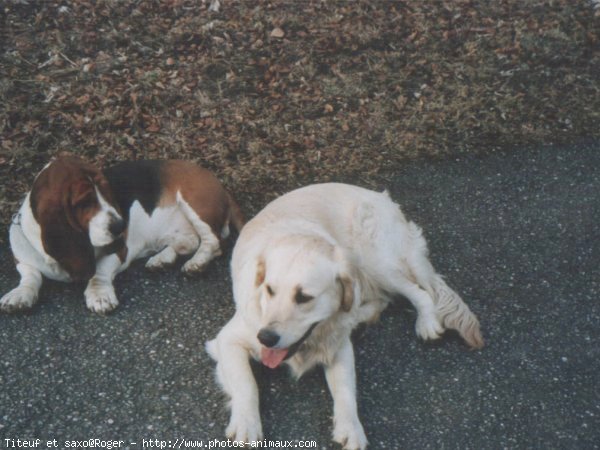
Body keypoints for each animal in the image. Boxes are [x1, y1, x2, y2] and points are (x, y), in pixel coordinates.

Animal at [0, 156, 244, 314]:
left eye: (106, 190)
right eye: (84, 201)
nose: (120, 226)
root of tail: (220, 184)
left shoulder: (119, 249)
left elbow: (99, 270)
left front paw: (99, 294)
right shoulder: (22, 257)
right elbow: (30, 275)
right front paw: (20, 294)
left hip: (193, 202)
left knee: (214, 243)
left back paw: (197, 263)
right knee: (188, 242)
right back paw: (161, 260)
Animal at [206, 183, 482, 450]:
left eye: (304, 297)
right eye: (269, 290)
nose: (266, 338)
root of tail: (382, 197)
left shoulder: (339, 347)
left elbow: (346, 391)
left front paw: (351, 429)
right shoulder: (227, 340)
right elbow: (247, 384)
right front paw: (247, 424)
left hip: (376, 262)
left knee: (419, 292)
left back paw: (426, 322)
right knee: (385, 298)